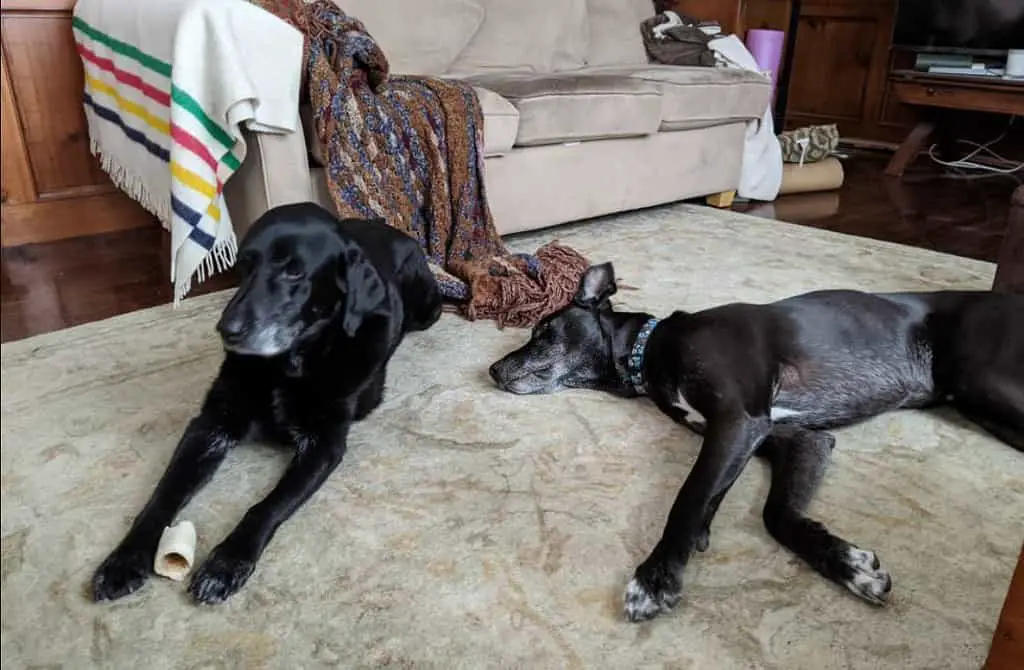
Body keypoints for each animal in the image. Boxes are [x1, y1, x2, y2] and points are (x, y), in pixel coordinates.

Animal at [96, 201, 444, 606]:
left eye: (294, 271)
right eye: (244, 267)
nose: (226, 330)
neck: (285, 368)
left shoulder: (324, 445)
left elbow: (266, 505)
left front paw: (226, 564)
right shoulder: (210, 425)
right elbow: (163, 495)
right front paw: (124, 558)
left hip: (428, 310)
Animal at [489, 262, 1024, 622]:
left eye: (543, 330)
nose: (492, 370)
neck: (650, 347)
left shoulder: (737, 421)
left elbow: (689, 496)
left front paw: (656, 575)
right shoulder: (797, 440)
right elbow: (775, 514)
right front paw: (847, 564)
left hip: (984, 379)